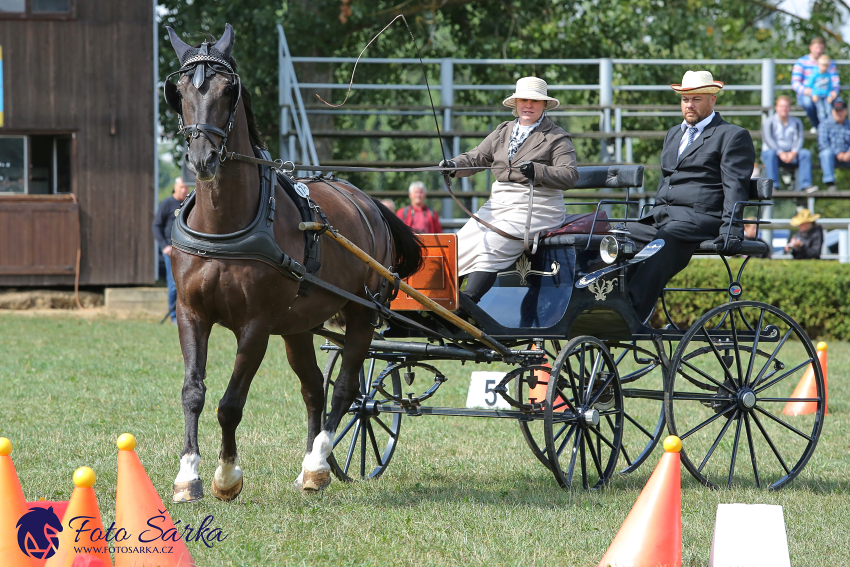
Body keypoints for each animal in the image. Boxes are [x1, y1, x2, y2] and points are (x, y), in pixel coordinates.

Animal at [163, 24, 420, 500]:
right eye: (180, 91)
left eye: (228, 90)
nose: (203, 159)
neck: (226, 224)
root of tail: (367, 202)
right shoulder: (190, 314)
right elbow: (193, 392)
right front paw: (188, 474)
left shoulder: (256, 325)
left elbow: (230, 403)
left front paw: (227, 476)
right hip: (299, 324)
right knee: (314, 388)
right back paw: (309, 466)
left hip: (361, 312)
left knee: (345, 390)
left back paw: (318, 463)